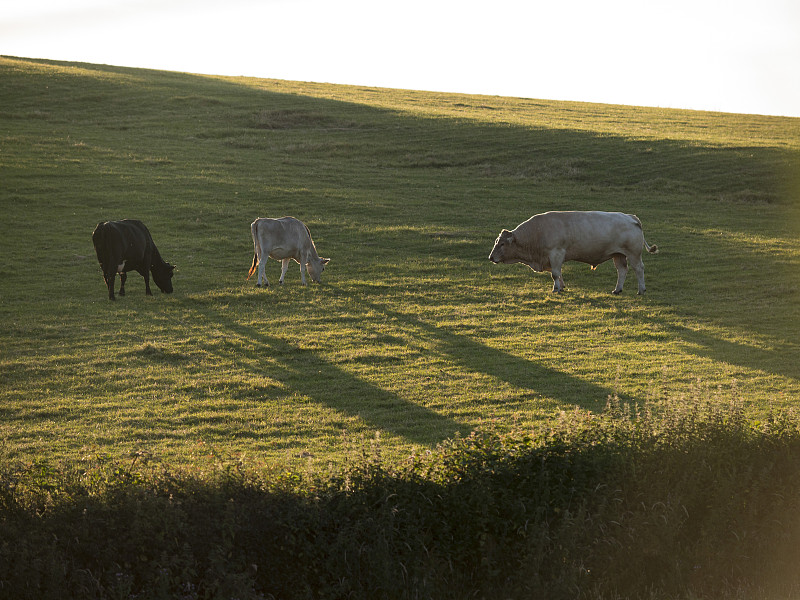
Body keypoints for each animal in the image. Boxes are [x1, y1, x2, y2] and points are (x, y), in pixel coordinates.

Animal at [490, 211, 660, 296]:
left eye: (502, 244)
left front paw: (556, 289)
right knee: (622, 270)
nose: (491, 257)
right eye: (496, 241)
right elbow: (557, 273)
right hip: (618, 255)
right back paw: (617, 290)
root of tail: (631, 217)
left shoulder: (556, 253)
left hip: (633, 254)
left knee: (638, 269)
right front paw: (562, 286)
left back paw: (641, 290)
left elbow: (555, 273)